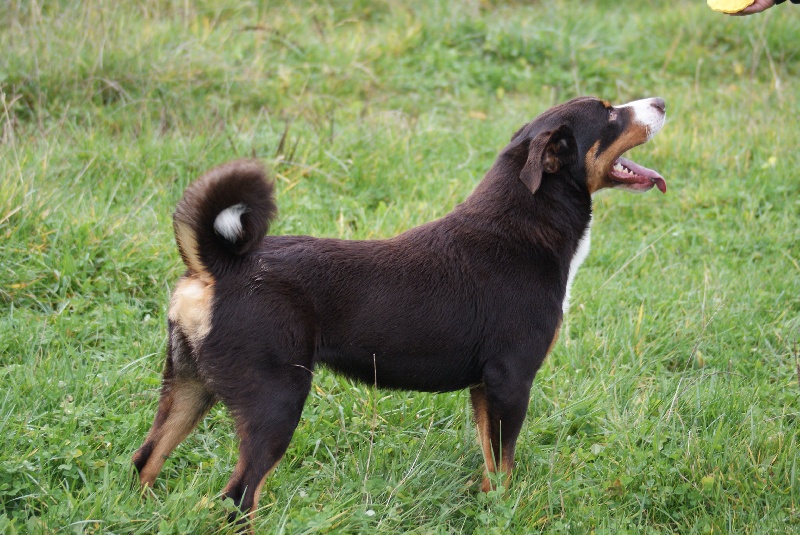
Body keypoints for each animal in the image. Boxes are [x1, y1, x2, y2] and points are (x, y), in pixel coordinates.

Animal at [133, 96, 666, 523]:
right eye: (610, 114)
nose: (660, 102)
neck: (523, 227)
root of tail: (218, 267)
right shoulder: (511, 381)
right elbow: (505, 464)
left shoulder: (484, 388)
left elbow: (490, 466)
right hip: (276, 401)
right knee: (238, 498)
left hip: (188, 387)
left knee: (146, 461)